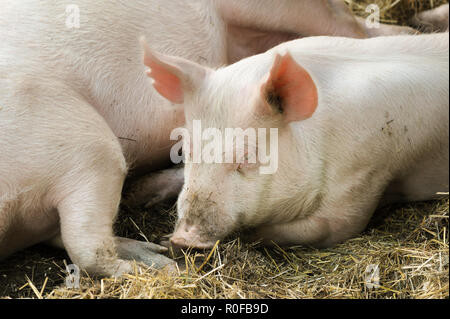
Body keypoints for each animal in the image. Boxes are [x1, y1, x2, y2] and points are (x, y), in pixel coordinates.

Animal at [0, 0, 394, 278]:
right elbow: (72, 240)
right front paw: (158, 257)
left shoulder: (81, 138)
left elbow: (86, 246)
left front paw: (156, 269)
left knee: (352, 26)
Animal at [140, 33, 446, 251]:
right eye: (186, 149)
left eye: (247, 157)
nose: (183, 239)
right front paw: (139, 197)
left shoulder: (367, 172)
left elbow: (334, 225)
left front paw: (249, 236)